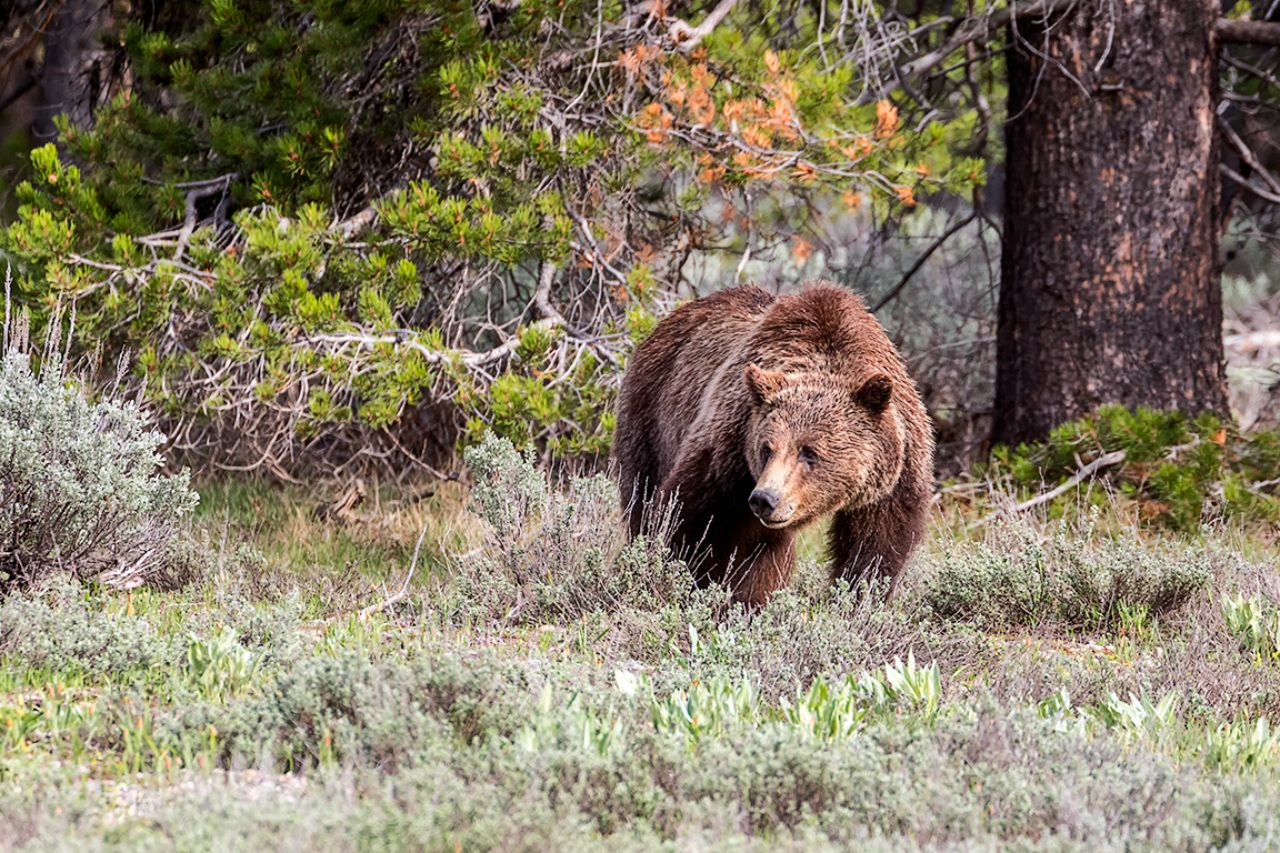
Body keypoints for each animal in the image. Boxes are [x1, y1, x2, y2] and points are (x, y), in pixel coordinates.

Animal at [612, 281, 934, 605]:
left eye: (809, 453)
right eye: (766, 448)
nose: (764, 499)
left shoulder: (895, 473)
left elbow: (876, 546)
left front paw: (858, 597)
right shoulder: (729, 452)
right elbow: (685, 518)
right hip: (649, 415)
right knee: (641, 491)